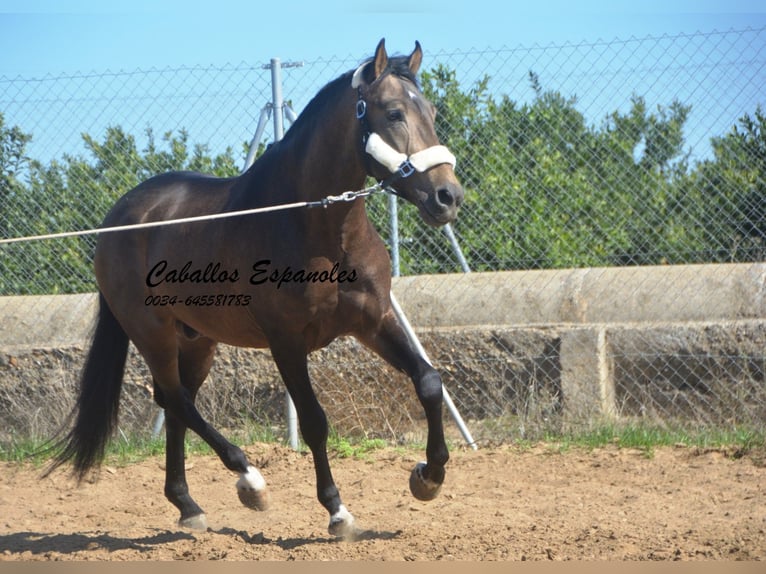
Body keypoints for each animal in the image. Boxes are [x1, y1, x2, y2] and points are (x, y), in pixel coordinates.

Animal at [46, 40, 462, 540]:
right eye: (394, 112)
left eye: (432, 112)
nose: (447, 197)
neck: (319, 229)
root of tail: (119, 218)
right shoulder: (286, 342)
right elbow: (314, 421)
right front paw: (337, 511)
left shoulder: (373, 322)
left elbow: (429, 382)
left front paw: (428, 477)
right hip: (153, 334)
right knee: (176, 400)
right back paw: (249, 480)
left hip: (197, 340)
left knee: (176, 403)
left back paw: (187, 504)